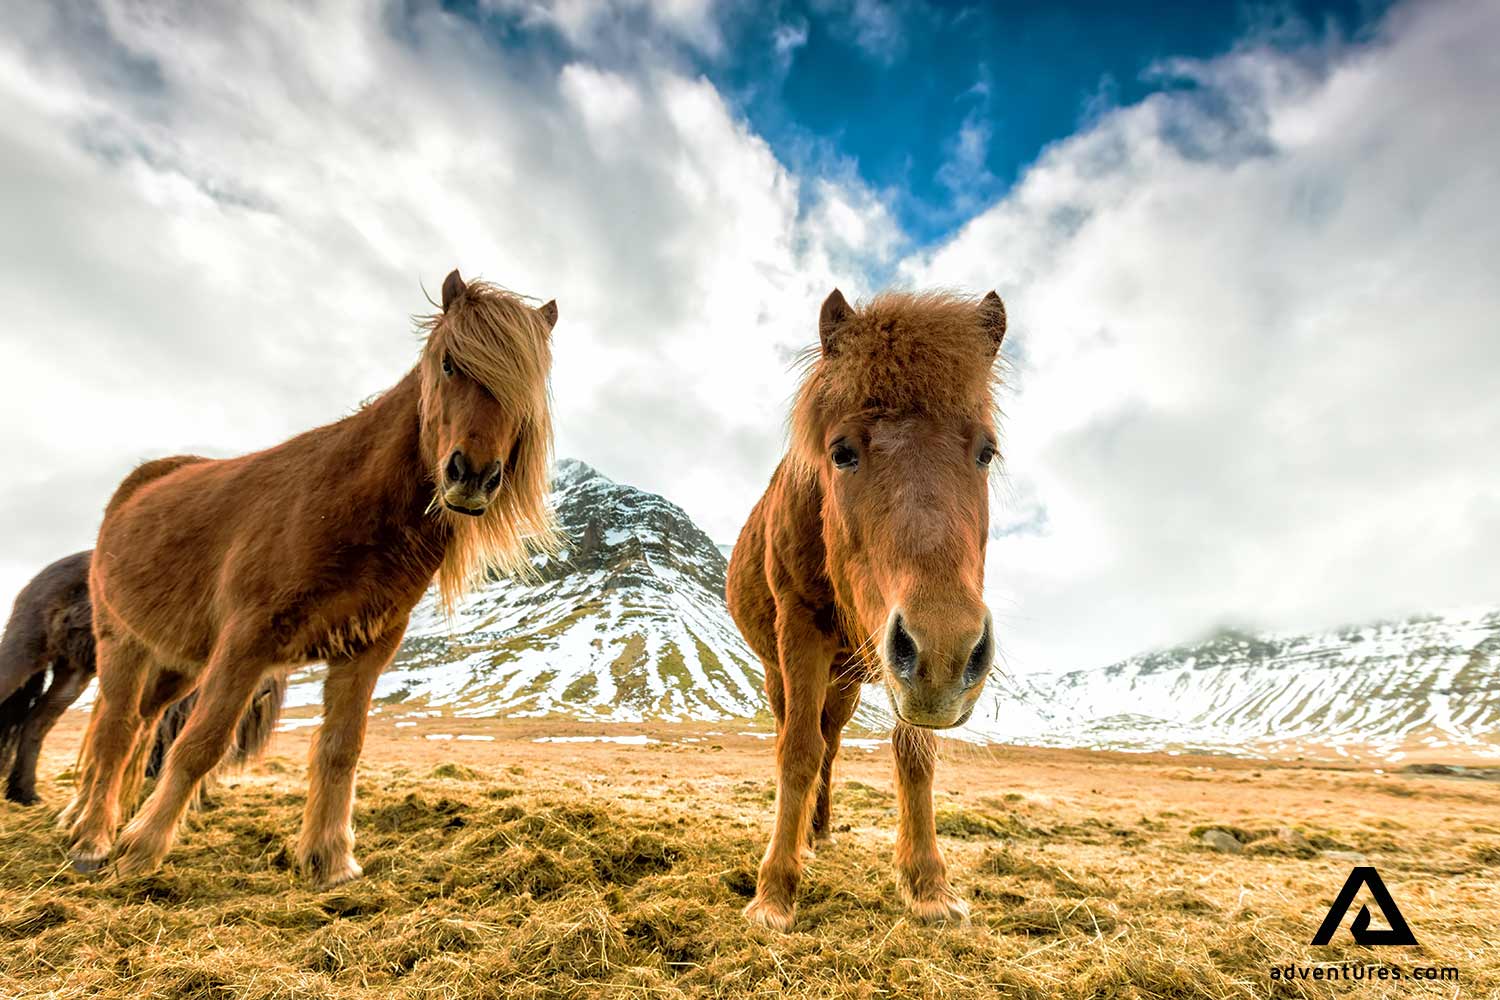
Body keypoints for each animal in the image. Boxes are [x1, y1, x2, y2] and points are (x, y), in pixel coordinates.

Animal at [0, 551, 286, 806]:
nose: (260, 694)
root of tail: (38, 579)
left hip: (73, 674)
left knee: (36, 723)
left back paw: (25, 794)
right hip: (25, 652)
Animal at [62, 270, 558, 885]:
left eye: (530, 387)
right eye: (448, 363)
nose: (472, 476)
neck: (346, 505)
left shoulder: (367, 650)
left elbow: (340, 749)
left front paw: (330, 858)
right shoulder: (246, 641)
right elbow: (202, 743)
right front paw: (143, 847)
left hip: (177, 663)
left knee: (138, 727)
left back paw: (92, 815)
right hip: (122, 640)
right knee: (115, 730)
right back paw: (93, 837)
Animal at [726, 287, 1007, 930]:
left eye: (986, 451)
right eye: (842, 452)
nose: (946, 648)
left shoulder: (907, 674)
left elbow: (915, 755)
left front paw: (928, 885)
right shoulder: (801, 629)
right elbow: (796, 751)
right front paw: (774, 893)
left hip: (851, 681)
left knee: (832, 743)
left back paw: (820, 830)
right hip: (782, 671)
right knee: (801, 736)